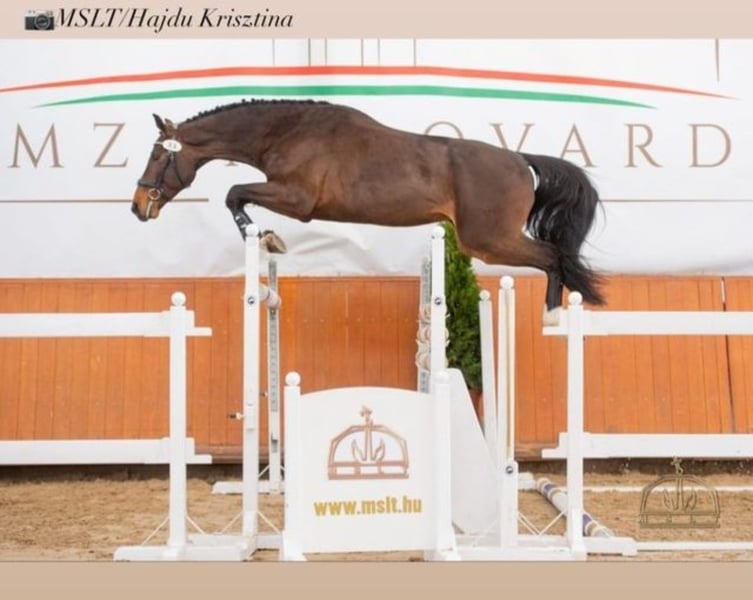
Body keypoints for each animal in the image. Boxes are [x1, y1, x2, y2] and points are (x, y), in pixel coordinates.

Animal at [131, 99, 604, 322]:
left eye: (156, 156)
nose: (138, 208)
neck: (284, 132)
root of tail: (521, 159)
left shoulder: (297, 199)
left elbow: (234, 193)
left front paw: (267, 237)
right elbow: (237, 194)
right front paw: (266, 236)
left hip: (488, 240)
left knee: (553, 256)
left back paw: (554, 316)